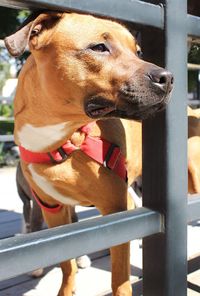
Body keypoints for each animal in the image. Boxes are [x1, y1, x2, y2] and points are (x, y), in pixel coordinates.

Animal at [4, 11, 173, 296]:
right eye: (99, 47)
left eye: (137, 51)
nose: (168, 78)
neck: (61, 140)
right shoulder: (53, 211)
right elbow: (66, 263)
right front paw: (66, 288)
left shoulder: (117, 212)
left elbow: (119, 279)